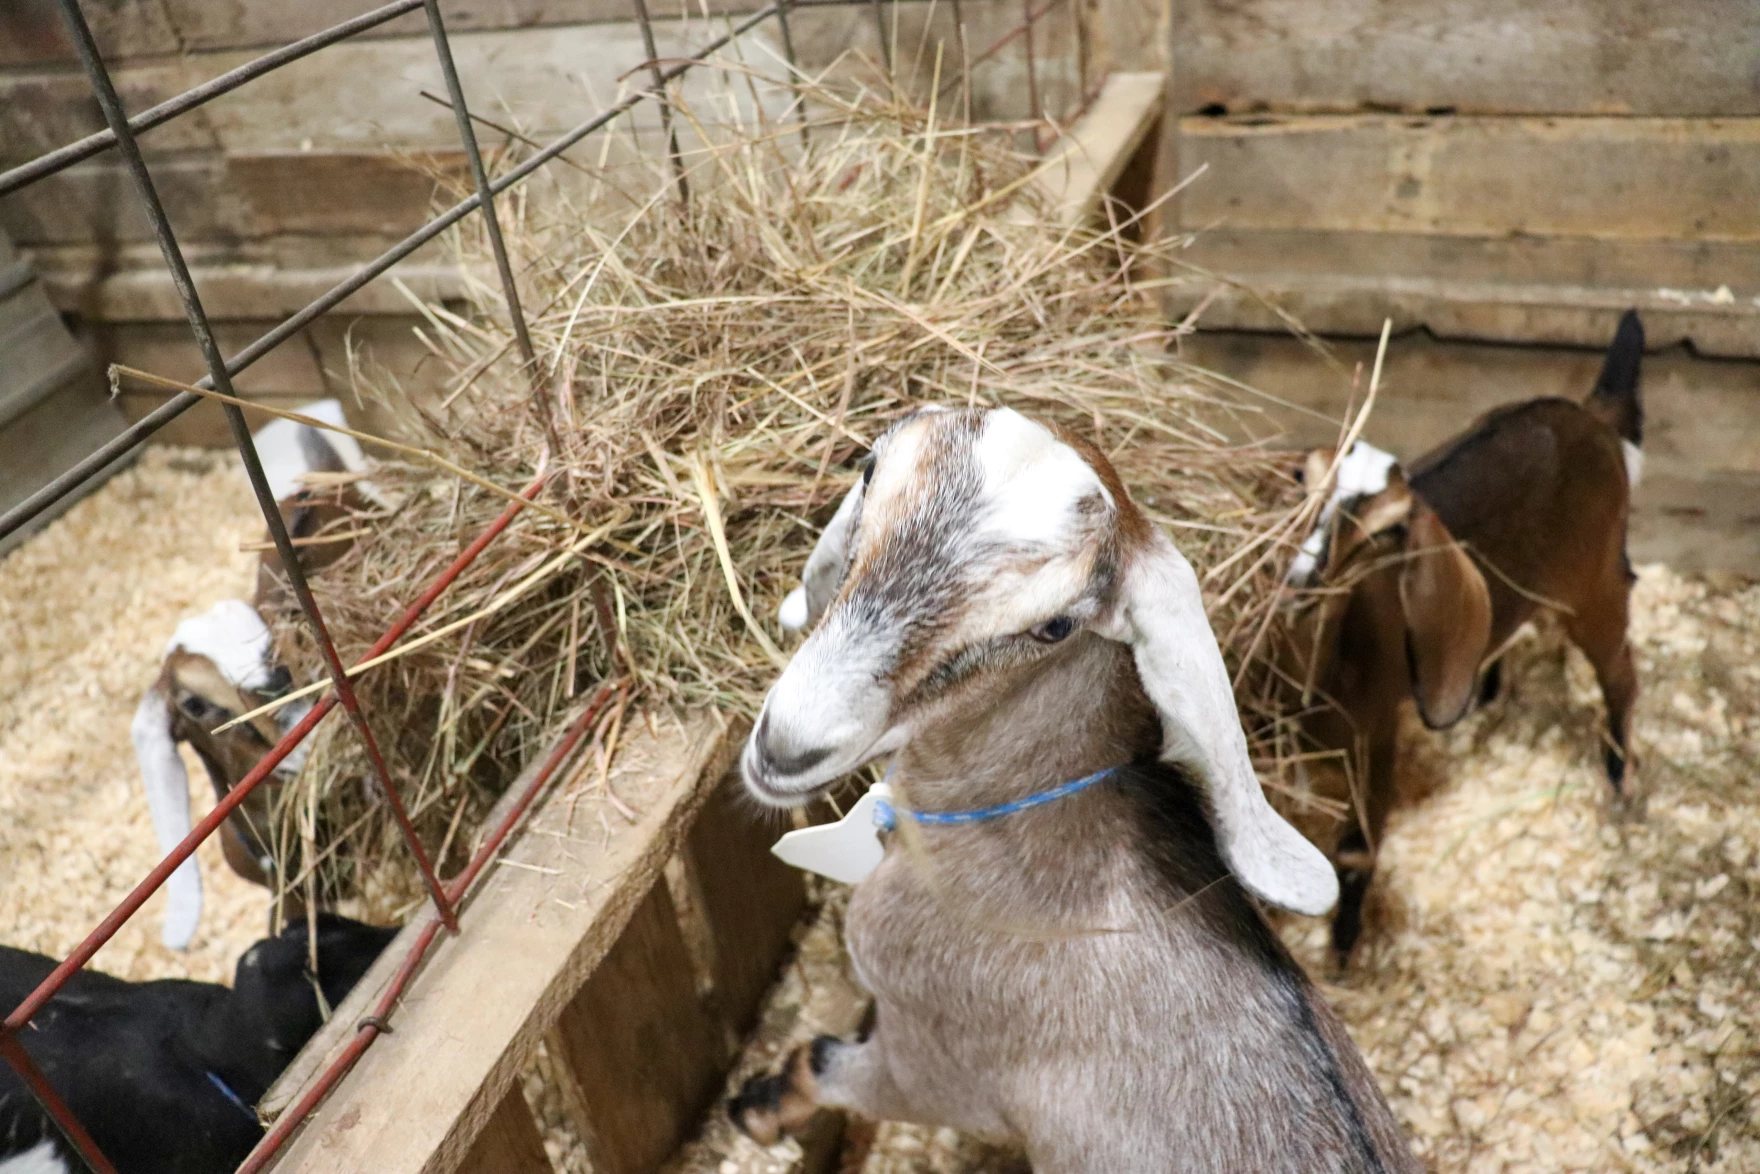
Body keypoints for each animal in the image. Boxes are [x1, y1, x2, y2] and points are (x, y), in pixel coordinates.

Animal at [728, 406, 1416, 1173]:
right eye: (870, 469)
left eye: (1053, 627)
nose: (787, 744)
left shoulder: (929, 1068)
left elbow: (819, 1060)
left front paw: (756, 1108)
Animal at [1273, 309, 1645, 967]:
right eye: (1302, 480)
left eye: (1389, 531)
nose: (1302, 582)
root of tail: (1591, 419)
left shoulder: (1374, 736)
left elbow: (1355, 849)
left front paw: (1342, 948)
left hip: (1595, 590)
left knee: (1622, 675)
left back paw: (1620, 777)